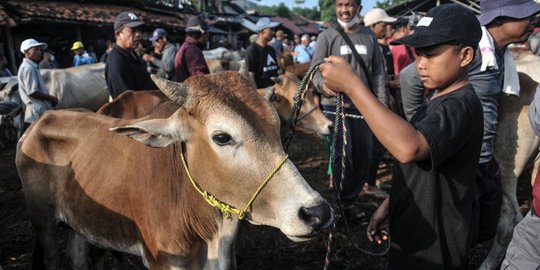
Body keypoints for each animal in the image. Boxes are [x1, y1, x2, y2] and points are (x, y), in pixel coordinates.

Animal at [15, 72, 334, 270]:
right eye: (222, 137)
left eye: (277, 125)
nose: (316, 213)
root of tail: (38, 122)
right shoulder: (164, 260)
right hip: (43, 222)